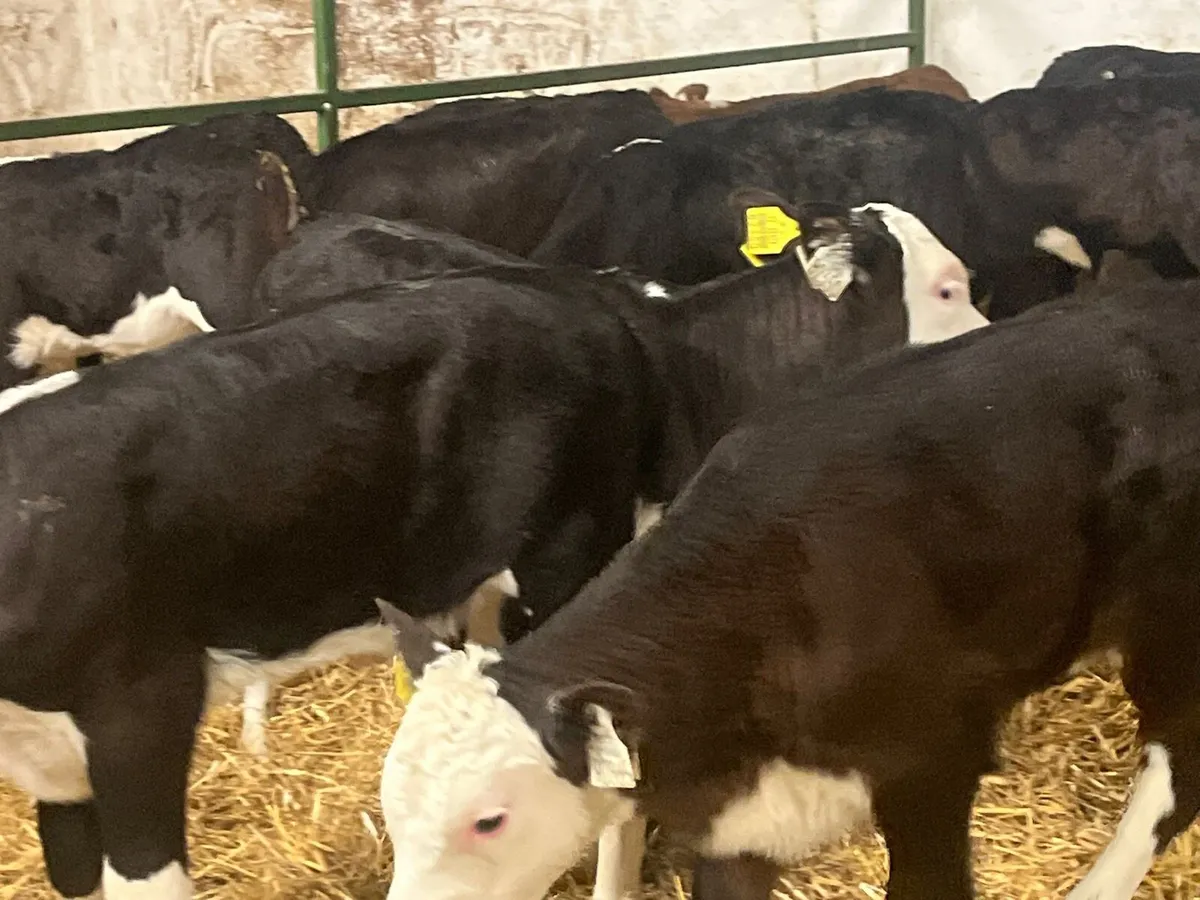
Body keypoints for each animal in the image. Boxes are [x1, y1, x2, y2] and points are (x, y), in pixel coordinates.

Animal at [375, 275, 1200, 900]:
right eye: (390, 803)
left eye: (490, 820)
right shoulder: (737, 830)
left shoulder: (932, 765)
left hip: (1171, 627)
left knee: (1175, 771)